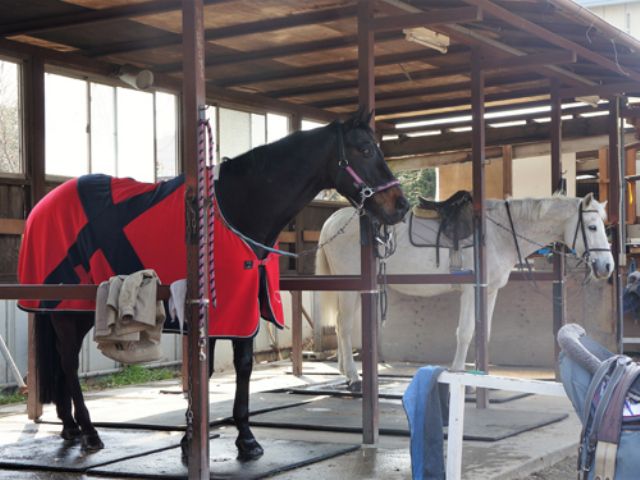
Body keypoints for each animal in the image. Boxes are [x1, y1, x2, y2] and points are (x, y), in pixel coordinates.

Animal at [16, 108, 410, 459]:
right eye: (365, 149)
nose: (400, 206)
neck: (237, 208)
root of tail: (40, 207)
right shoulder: (217, 312)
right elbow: (203, 372)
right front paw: (192, 441)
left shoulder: (245, 307)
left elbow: (244, 365)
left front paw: (246, 439)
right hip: (69, 310)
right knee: (68, 363)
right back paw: (89, 432)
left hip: (71, 310)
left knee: (62, 364)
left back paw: (70, 428)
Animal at [315, 193, 614, 388]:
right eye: (592, 227)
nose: (607, 266)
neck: (498, 233)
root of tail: (334, 221)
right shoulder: (471, 291)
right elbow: (466, 332)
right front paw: (459, 376)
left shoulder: (490, 291)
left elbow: (484, 333)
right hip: (350, 287)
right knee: (343, 326)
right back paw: (353, 377)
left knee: (343, 325)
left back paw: (344, 370)